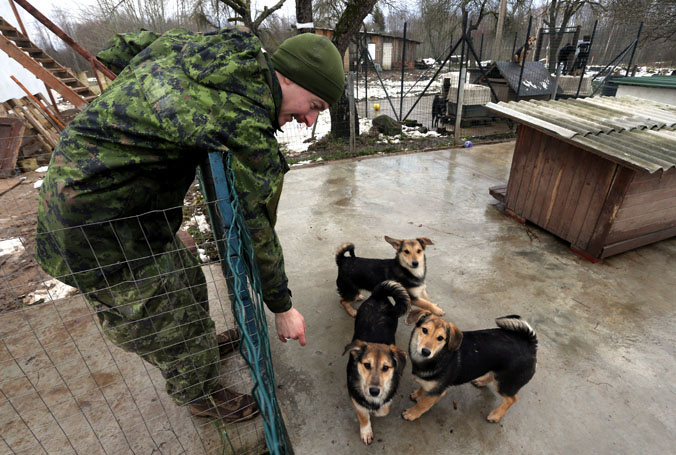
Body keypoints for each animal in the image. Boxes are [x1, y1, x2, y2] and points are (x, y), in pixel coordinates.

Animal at [346, 282, 410, 446]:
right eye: (366, 365)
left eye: (386, 368)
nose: (374, 391)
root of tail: (378, 295)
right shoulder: (356, 398)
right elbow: (363, 415)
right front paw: (366, 431)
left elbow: (384, 410)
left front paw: (377, 410)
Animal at [402, 312, 540, 426]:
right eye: (424, 330)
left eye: (440, 338)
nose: (426, 351)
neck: (439, 356)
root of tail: (530, 345)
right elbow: (423, 387)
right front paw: (418, 394)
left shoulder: (438, 391)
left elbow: (423, 404)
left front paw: (412, 413)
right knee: (492, 376)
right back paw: (481, 382)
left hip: (505, 382)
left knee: (512, 399)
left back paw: (496, 415)